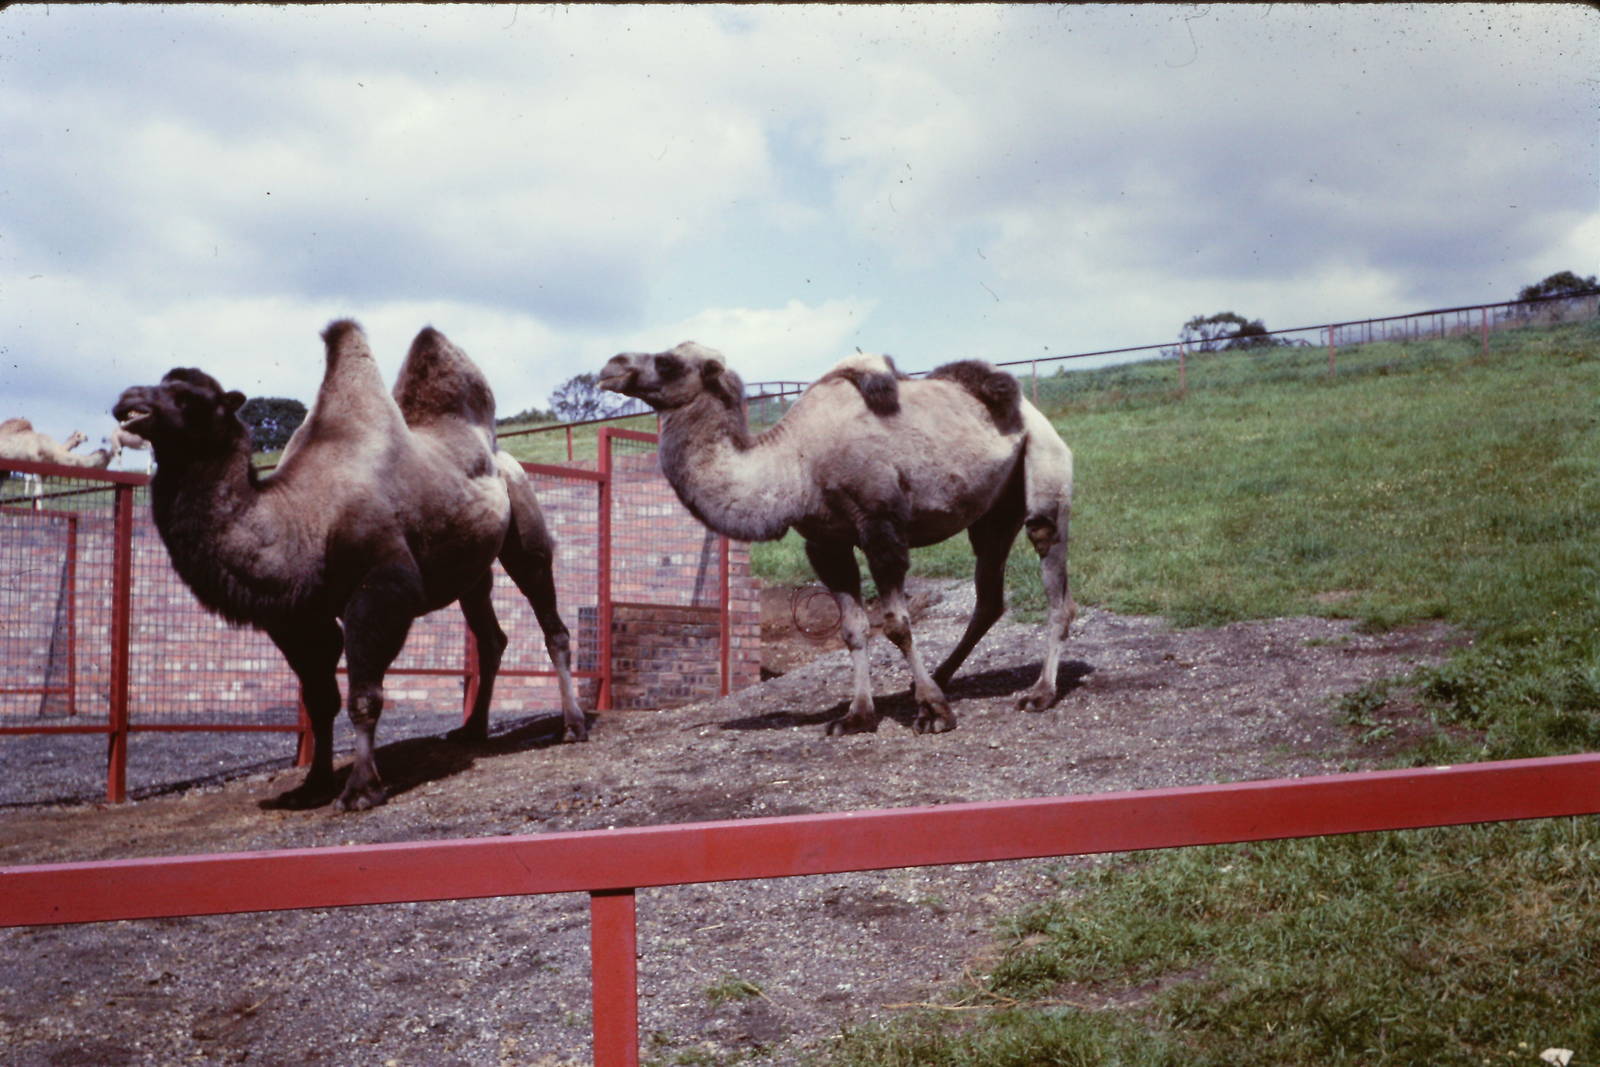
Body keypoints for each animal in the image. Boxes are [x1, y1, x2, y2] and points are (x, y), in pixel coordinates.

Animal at [113, 320, 586, 811]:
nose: (128, 401)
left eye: (190, 396)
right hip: (472, 571)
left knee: (551, 621)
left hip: (525, 528)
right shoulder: (299, 619)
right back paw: (471, 730)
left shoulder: (383, 590)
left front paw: (361, 788)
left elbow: (364, 696)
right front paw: (314, 783)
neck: (299, 518)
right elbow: (320, 701)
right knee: (492, 638)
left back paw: (573, 726)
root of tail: (498, 452)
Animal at [599, 342, 1075, 736]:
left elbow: (896, 624)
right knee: (990, 596)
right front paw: (857, 716)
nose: (610, 367)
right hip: (993, 514)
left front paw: (934, 712)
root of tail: (1034, 414)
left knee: (1051, 565)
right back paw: (940, 678)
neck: (797, 463)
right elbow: (852, 628)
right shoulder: (825, 543)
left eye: (668, 362)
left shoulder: (881, 528)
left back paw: (1040, 693)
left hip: (1045, 470)